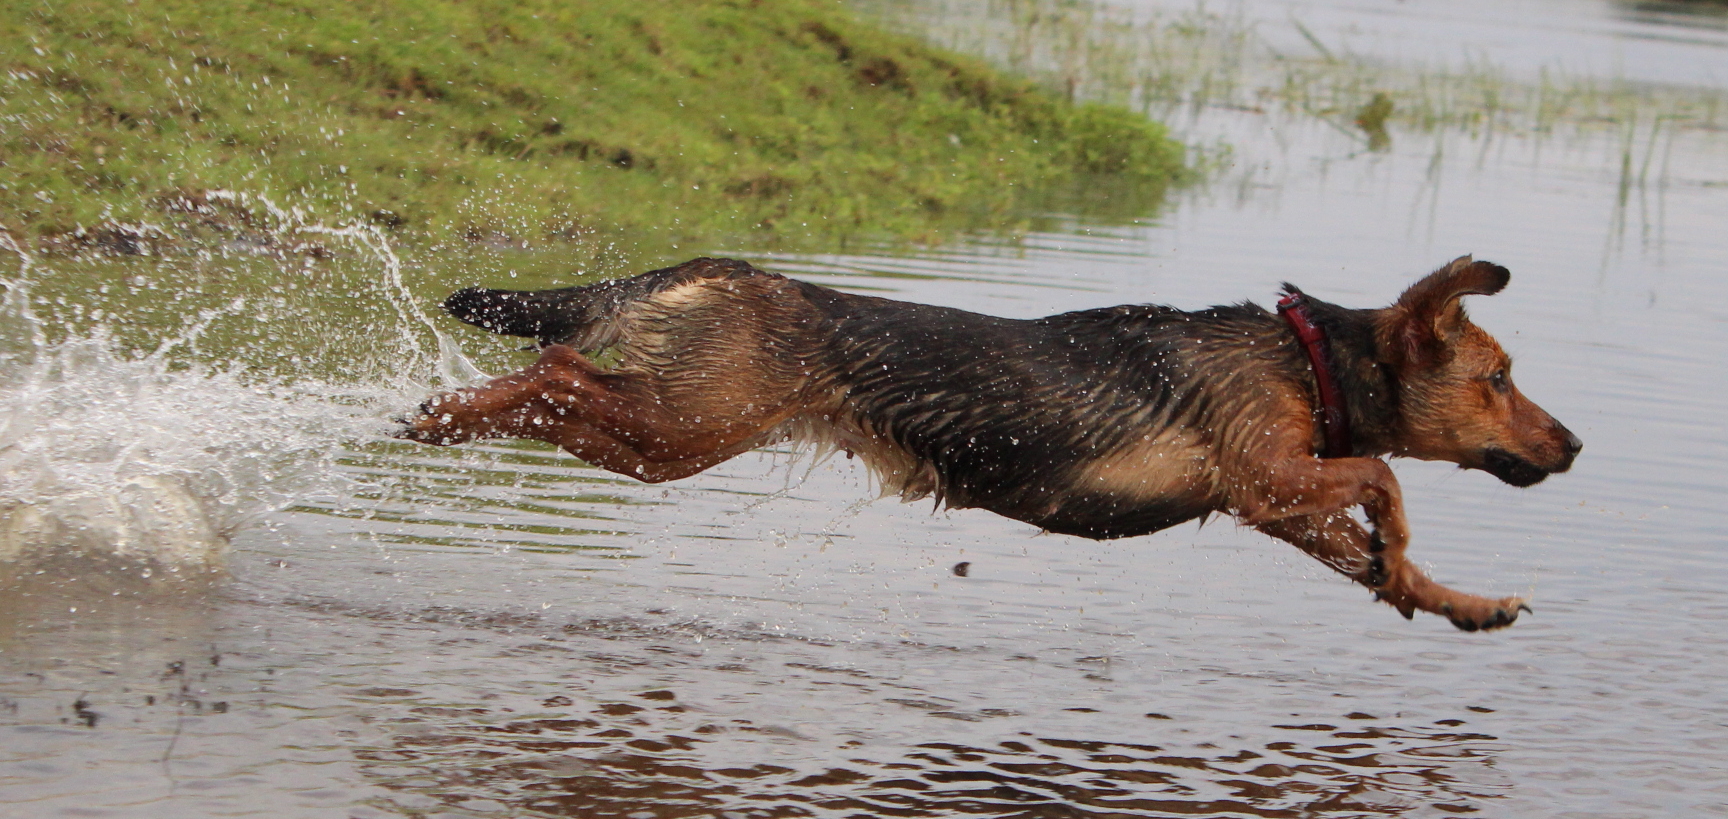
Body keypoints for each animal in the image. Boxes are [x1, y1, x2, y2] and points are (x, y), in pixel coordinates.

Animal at [395, 255, 1582, 632]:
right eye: (1500, 381)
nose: (1573, 446)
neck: (1309, 357)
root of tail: (718, 268)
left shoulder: (1273, 504)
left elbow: (1379, 548)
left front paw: (1450, 599)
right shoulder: (1265, 471)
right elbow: (1383, 476)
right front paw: (1401, 546)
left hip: (664, 428)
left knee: (554, 384)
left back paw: (446, 414)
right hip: (682, 425)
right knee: (557, 368)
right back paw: (442, 413)